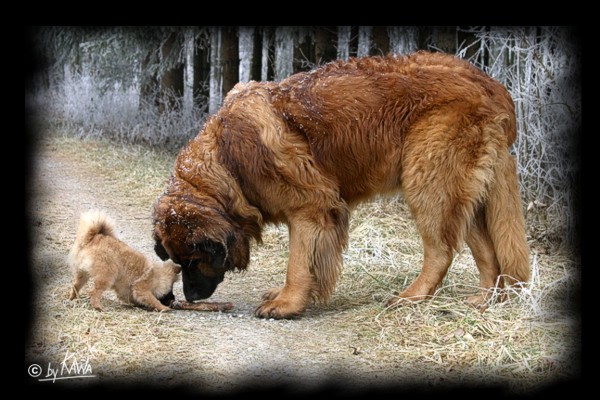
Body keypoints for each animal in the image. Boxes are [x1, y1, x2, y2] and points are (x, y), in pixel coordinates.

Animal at [152, 51, 528, 318]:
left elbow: (299, 263)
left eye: (194, 259)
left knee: (441, 250)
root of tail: (494, 88)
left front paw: (287, 304)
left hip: (427, 180)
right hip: (463, 190)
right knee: (486, 251)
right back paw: (482, 301)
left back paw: (412, 297)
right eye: (178, 261)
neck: (227, 162)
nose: (188, 298)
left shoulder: (311, 208)